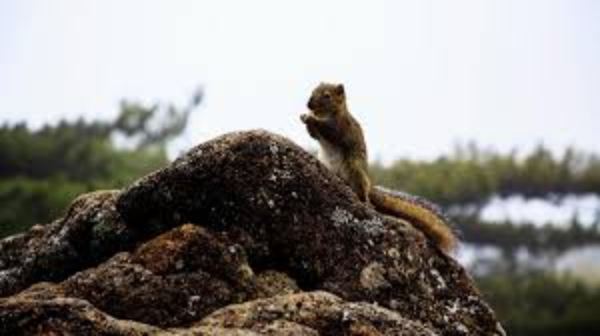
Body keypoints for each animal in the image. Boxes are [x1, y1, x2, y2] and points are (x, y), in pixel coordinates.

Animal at [302, 82, 458, 253]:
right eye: (312, 91)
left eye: (327, 96)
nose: (308, 104)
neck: (330, 113)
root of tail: (370, 185)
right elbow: (314, 135)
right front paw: (305, 118)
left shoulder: (341, 127)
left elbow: (329, 131)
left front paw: (310, 118)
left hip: (355, 169)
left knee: (362, 192)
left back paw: (364, 201)